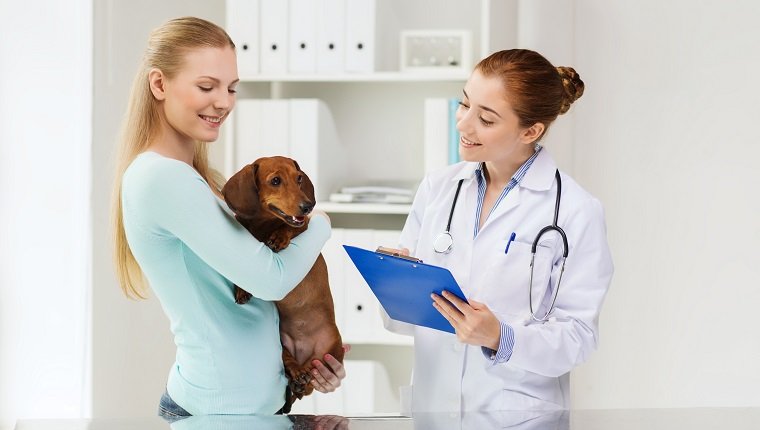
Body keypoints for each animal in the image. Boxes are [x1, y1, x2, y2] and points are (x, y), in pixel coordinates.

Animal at [223, 155, 344, 414]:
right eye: (275, 181)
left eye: (299, 178)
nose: (307, 206)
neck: (263, 225)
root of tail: (305, 354)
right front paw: (242, 289)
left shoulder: (303, 224)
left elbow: (290, 226)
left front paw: (279, 237)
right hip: (283, 344)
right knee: (289, 363)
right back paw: (296, 373)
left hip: (331, 349)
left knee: (311, 380)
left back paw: (302, 379)